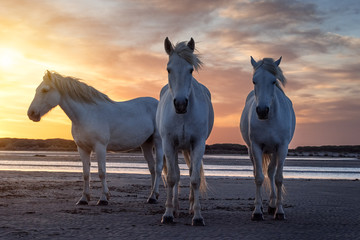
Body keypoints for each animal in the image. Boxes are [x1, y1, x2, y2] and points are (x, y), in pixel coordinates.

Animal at [27, 70, 162, 205]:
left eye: (45, 90)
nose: (31, 114)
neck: (86, 114)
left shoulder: (100, 147)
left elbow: (102, 172)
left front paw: (103, 199)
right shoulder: (82, 149)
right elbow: (86, 174)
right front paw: (83, 199)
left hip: (158, 142)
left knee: (158, 167)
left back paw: (153, 196)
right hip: (146, 144)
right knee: (152, 168)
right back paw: (152, 196)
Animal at [157, 36, 214, 226]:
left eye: (190, 70)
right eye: (168, 69)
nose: (180, 104)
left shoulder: (198, 144)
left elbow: (195, 179)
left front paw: (197, 216)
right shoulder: (168, 144)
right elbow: (172, 178)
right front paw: (168, 214)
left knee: (189, 173)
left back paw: (189, 206)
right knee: (176, 174)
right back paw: (175, 207)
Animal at [239, 56, 296, 221]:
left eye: (273, 81)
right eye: (254, 81)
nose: (262, 111)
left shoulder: (282, 148)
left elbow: (278, 178)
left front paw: (280, 211)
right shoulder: (256, 147)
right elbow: (258, 177)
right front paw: (257, 212)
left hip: (274, 152)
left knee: (271, 173)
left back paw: (272, 206)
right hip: (252, 151)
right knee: (258, 172)